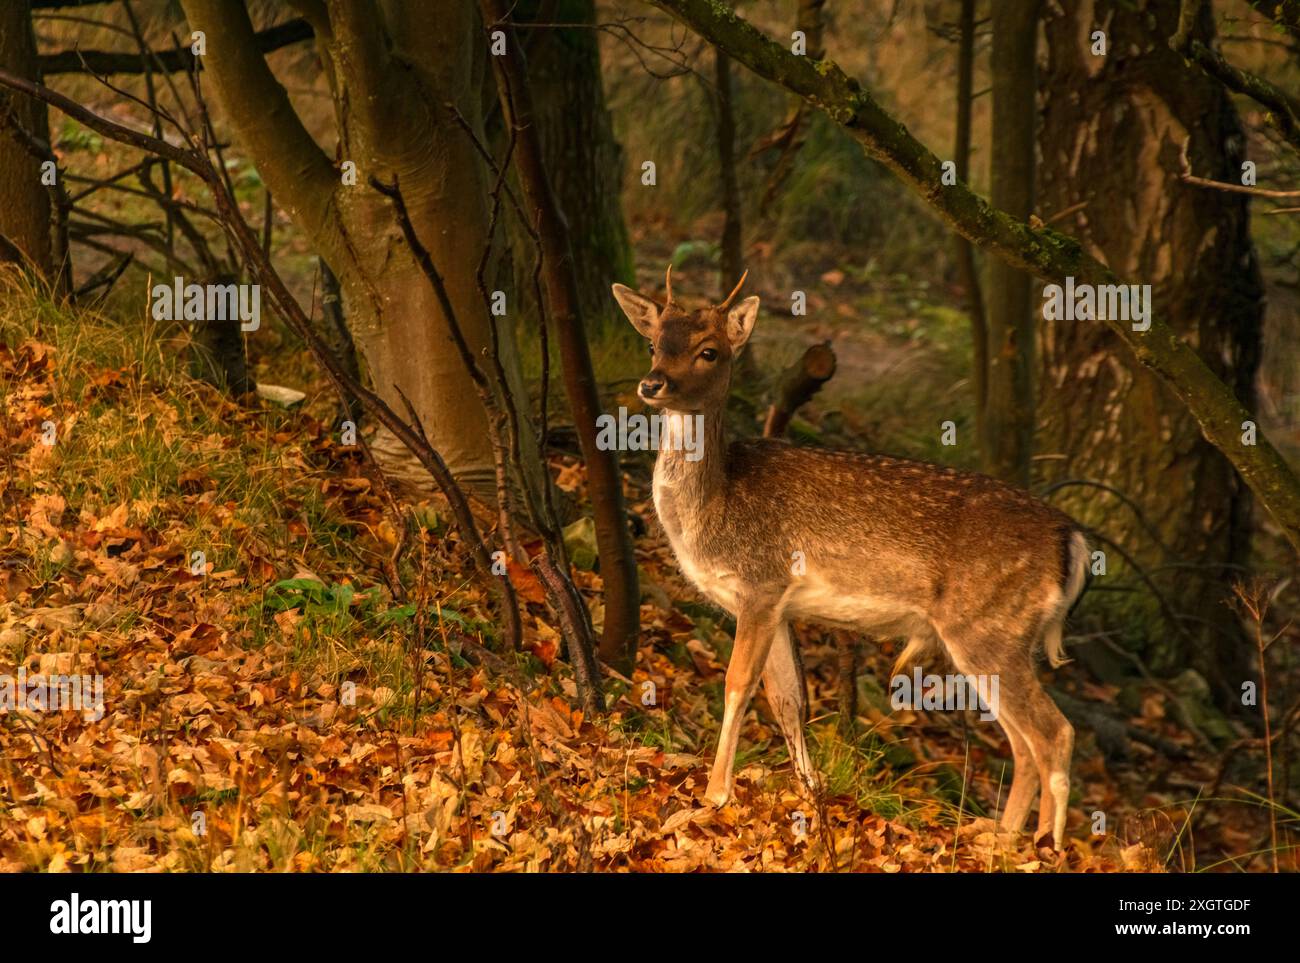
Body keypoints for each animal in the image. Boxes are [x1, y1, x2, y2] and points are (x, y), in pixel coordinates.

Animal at [608, 266, 1086, 847]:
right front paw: (812, 793)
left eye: (709, 351)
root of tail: (1072, 538)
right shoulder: (779, 605)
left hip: (988, 628)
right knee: (1023, 743)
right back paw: (997, 838)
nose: (651, 384)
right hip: (1001, 638)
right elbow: (789, 700)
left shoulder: (761, 583)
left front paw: (715, 793)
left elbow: (738, 685)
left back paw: (1043, 847)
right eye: (654, 343)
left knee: (1054, 733)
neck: (717, 508)